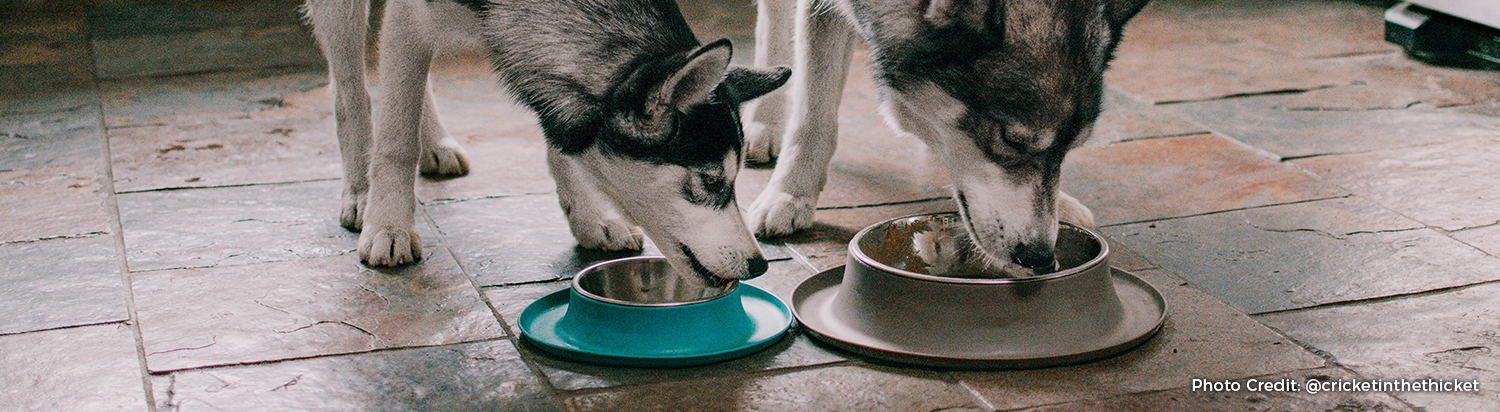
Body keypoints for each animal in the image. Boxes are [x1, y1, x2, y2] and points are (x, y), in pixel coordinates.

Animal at [307, 0, 798, 283]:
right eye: (712, 181)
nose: (760, 265)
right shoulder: (412, 15)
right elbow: (395, 134)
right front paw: (389, 223)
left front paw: (590, 216)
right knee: (351, 90)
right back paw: (362, 190)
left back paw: (435, 144)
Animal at [747, 0, 1146, 272]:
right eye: (1012, 140)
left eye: (1070, 149)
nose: (1040, 257)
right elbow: (814, 111)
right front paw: (790, 193)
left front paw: (1062, 201)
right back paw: (764, 122)